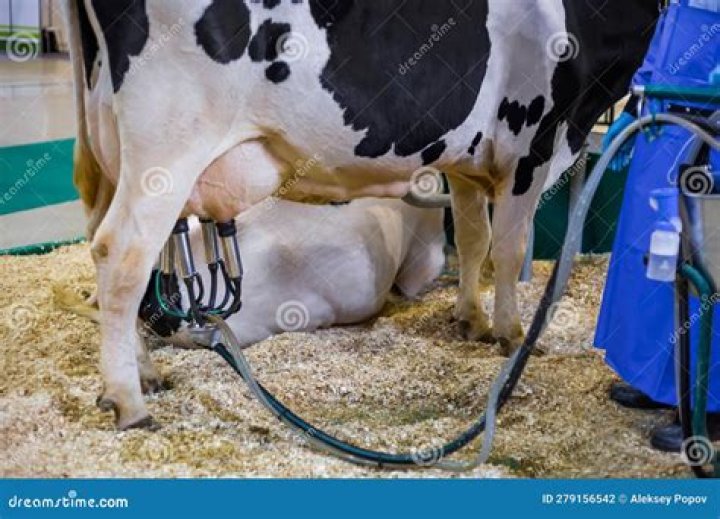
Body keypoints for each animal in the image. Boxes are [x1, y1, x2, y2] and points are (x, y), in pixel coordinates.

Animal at [63, 0, 658, 429]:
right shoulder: (532, 143)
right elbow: (508, 248)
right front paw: (511, 333)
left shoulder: (468, 157)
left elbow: (472, 238)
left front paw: (470, 318)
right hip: (166, 145)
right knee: (123, 253)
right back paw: (128, 400)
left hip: (102, 145)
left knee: (98, 241)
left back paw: (144, 371)